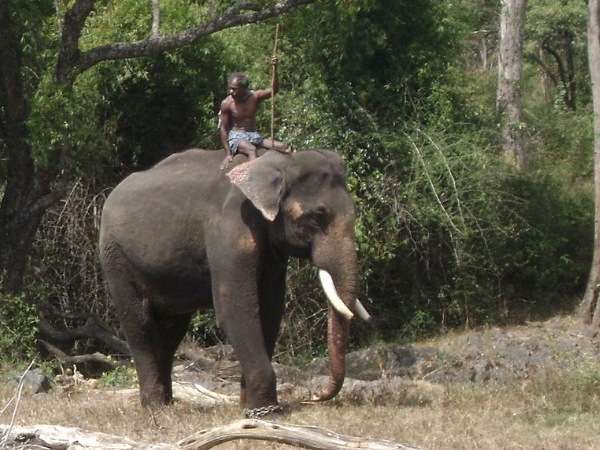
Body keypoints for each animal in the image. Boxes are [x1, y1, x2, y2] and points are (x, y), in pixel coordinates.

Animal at [98, 149, 370, 418]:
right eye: (316, 216)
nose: (316, 395)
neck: (275, 162)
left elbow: (270, 312)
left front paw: (249, 408)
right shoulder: (230, 231)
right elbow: (236, 311)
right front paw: (267, 413)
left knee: (172, 330)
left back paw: (166, 405)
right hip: (116, 258)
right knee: (139, 325)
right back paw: (155, 409)